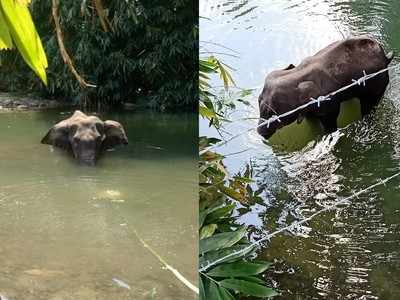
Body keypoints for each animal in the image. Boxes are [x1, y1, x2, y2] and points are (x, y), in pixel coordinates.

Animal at [256, 35, 394, 138]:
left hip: (377, 85)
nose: (260, 132)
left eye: (273, 113)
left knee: (369, 106)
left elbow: (330, 122)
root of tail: (386, 57)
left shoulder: (328, 105)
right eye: (258, 100)